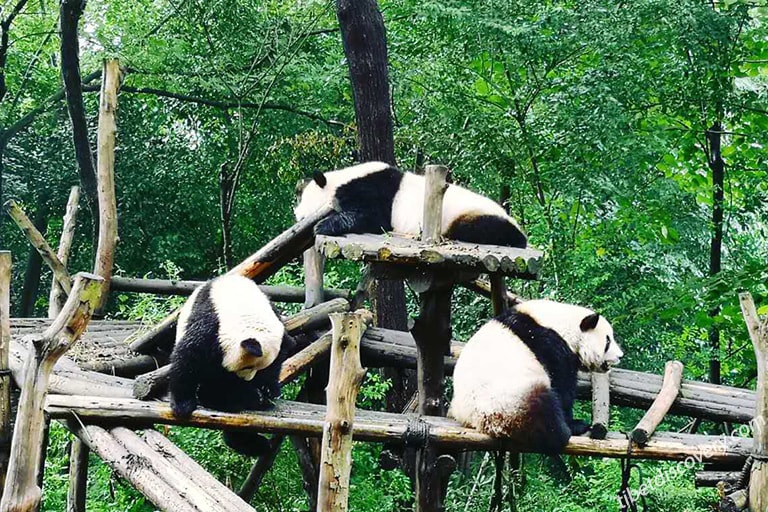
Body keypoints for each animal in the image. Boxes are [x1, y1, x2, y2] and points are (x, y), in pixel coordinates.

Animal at [168, 274, 294, 456]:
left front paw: (267, 390)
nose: (247, 380)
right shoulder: (209, 324)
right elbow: (188, 359)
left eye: (260, 369)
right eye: (247, 367)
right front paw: (182, 405)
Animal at [294, 161, 527, 248]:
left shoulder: (373, 190)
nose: (297, 217)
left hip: (473, 216)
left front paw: (322, 225)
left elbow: (371, 217)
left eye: (303, 210)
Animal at [448, 299, 623, 454]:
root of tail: (480, 423)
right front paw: (575, 423)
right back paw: (565, 431)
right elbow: (561, 385)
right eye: (608, 341)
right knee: (543, 409)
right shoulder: (549, 344)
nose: (620, 355)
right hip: (508, 401)